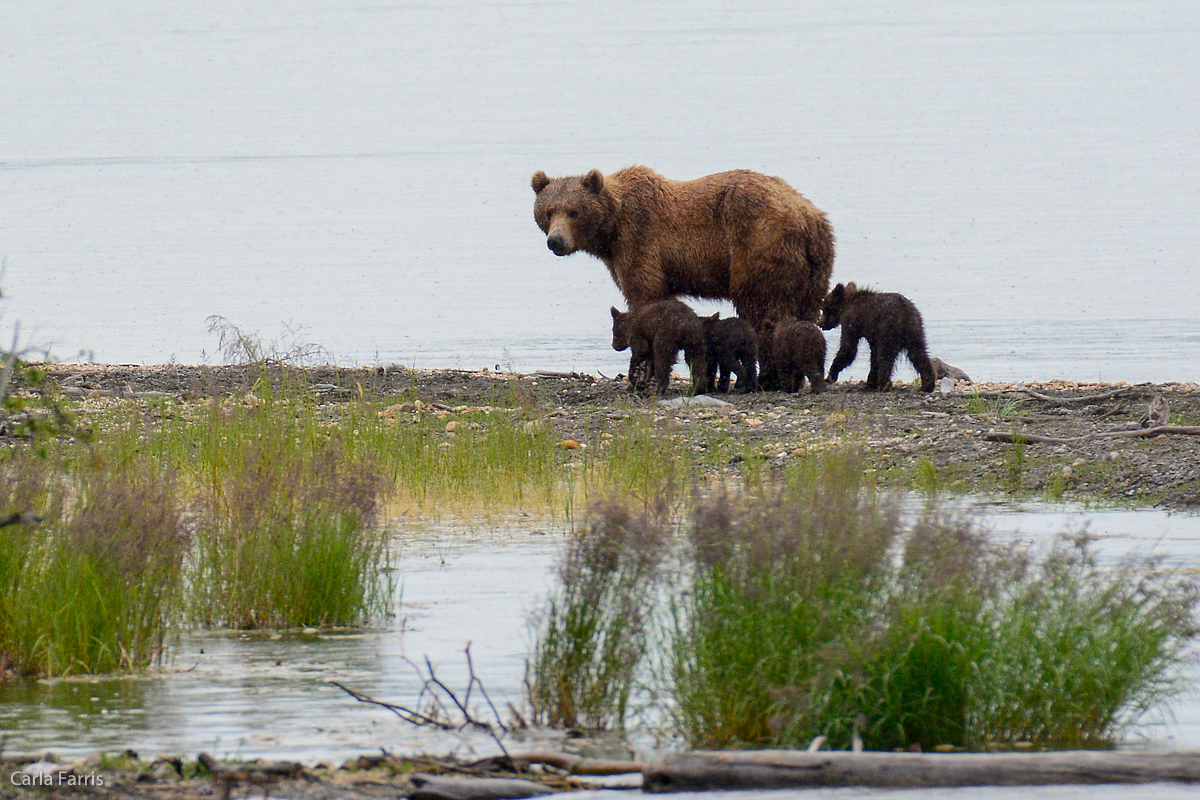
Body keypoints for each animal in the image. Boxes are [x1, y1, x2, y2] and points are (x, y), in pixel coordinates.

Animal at [530, 167, 840, 326]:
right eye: (548, 211)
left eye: (574, 211)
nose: (556, 241)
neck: (611, 229)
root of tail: (809, 217)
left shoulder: (639, 238)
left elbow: (645, 292)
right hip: (817, 265)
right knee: (806, 309)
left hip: (758, 241)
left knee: (762, 301)